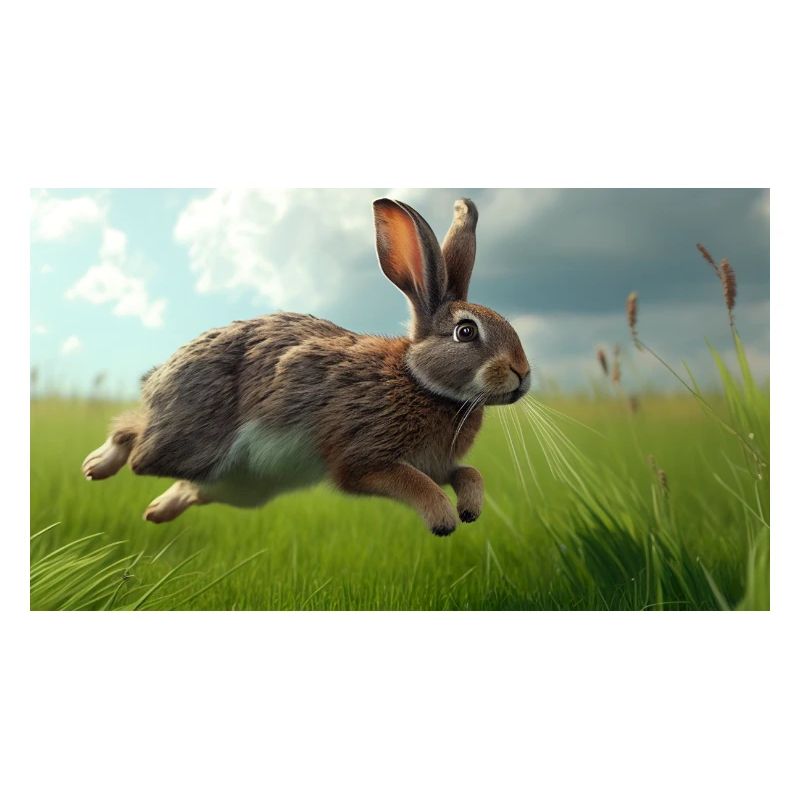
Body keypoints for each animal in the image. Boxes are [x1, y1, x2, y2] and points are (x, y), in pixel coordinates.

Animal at [81, 197, 531, 535]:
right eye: (466, 332)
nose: (523, 374)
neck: (420, 380)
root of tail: (160, 375)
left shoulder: (438, 464)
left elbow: (469, 473)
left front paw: (470, 509)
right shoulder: (363, 458)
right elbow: (411, 482)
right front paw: (443, 518)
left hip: (241, 488)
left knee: (190, 487)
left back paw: (157, 511)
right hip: (190, 443)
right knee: (136, 440)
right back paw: (97, 465)